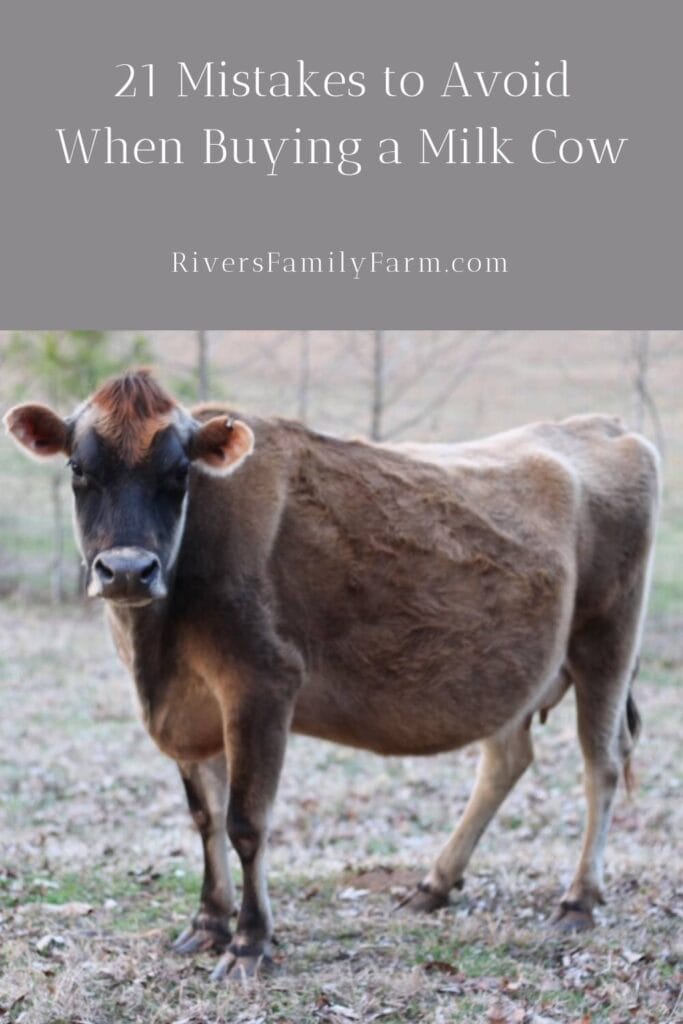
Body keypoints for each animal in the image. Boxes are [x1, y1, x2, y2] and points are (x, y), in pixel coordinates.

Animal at [2, 370, 659, 983]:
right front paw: (208, 924)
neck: (158, 650)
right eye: (79, 468)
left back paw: (578, 900)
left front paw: (250, 944)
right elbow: (204, 818)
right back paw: (433, 885)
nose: (127, 570)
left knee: (601, 763)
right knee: (506, 759)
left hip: (607, 640)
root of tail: (602, 425)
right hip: (515, 671)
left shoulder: (262, 684)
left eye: (179, 472)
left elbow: (246, 823)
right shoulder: (187, 711)